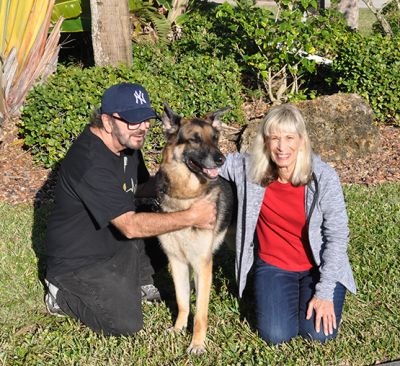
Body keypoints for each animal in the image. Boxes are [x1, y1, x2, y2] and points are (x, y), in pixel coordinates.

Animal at [158, 103, 233, 354]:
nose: (221, 159)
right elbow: (183, 302)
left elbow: (200, 312)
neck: (186, 198)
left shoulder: (202, 265)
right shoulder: (177, 263)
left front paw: (197, 344)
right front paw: (178, 328)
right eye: (194, 140)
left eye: (216, 138)